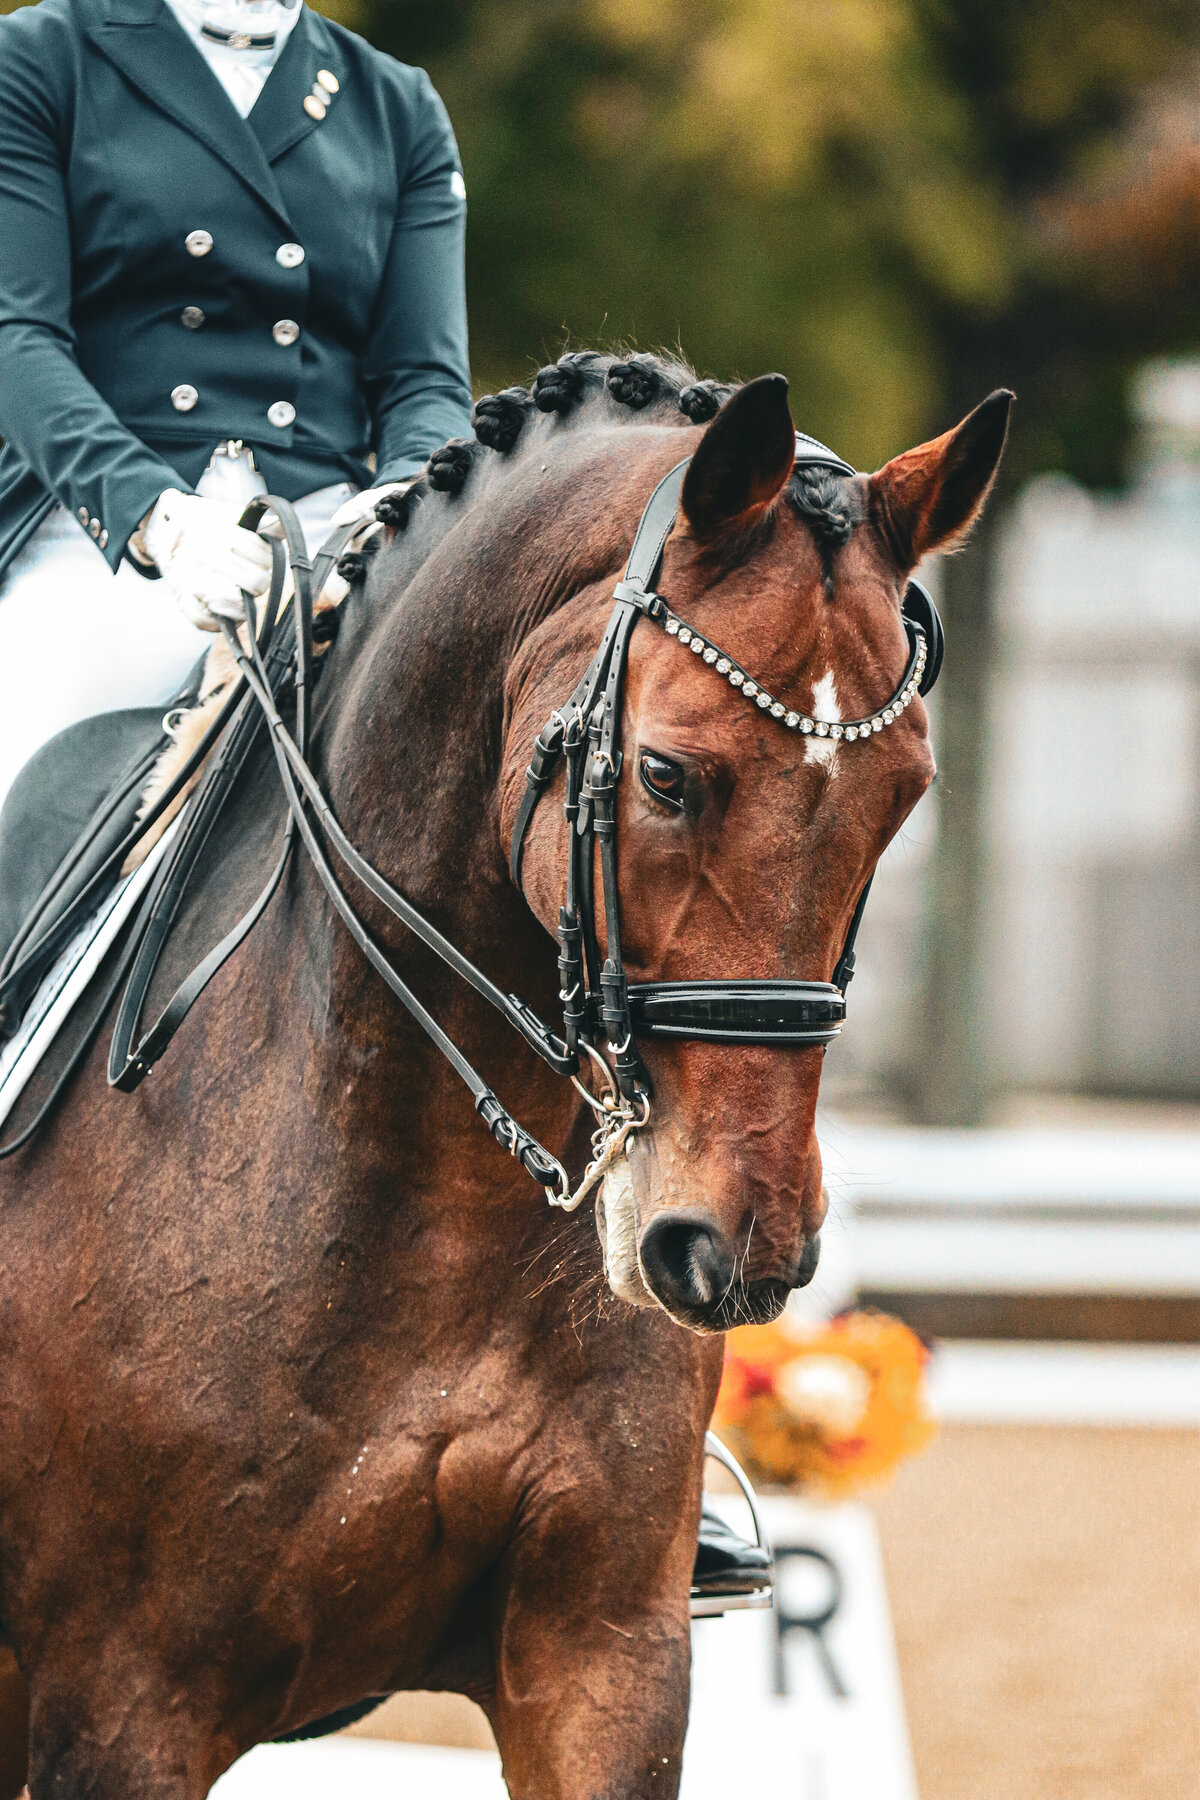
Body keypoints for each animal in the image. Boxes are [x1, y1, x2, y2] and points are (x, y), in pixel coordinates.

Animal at [0, 354, 1010, 1799]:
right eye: (665, 775)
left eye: (906, 792)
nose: (737, 1250)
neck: (422, 1190)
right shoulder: (124, 1701)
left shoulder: (605, 1662)